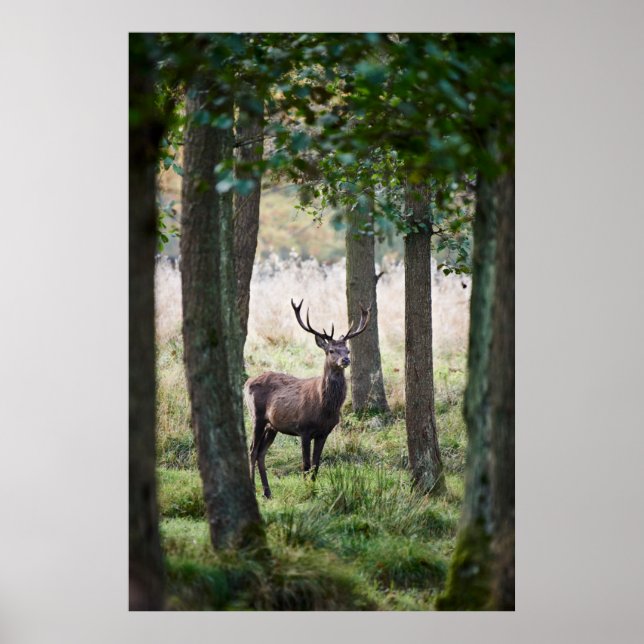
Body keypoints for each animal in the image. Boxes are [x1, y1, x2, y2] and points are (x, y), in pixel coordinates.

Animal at [244, 298, 371, 499]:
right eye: (331, 350)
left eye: (347, 350)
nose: (345, 360)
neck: (325, 408)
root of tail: (246, 382)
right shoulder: (303, 428)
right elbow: (305, 465)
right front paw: (306, 491)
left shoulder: (324, 432)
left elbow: (316, 465)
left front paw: (313, 490)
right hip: (256, 416)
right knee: (252, 450)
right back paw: (254, 488)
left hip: (272, 425)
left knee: (261, 453)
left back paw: (268, 492)